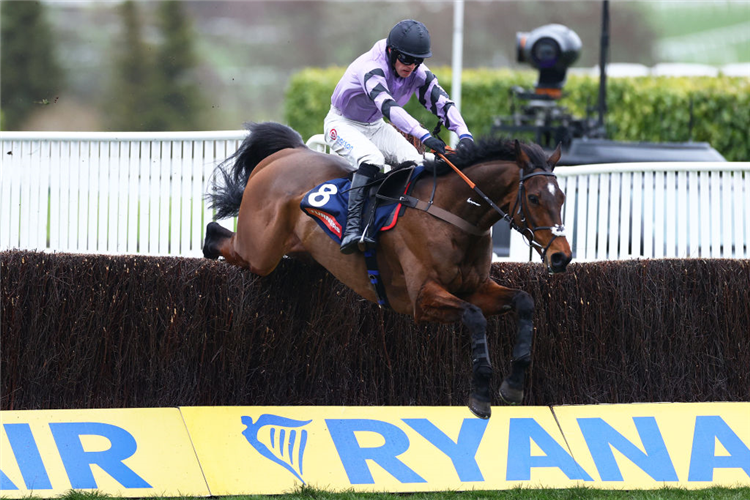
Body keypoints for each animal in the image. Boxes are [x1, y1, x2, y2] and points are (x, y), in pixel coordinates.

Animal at [203, 121, 572, 418]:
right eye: (535, 198)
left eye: (563, 198)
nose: (561, 257)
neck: (452, 214)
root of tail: (287, 153)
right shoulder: (421, 299)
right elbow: (474, 316)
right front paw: (480, 394)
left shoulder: (476, 287)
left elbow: (525, 300)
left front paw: (514, 383)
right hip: (259, 251)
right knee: (216, 234)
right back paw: (208, 249)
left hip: (296, 250)